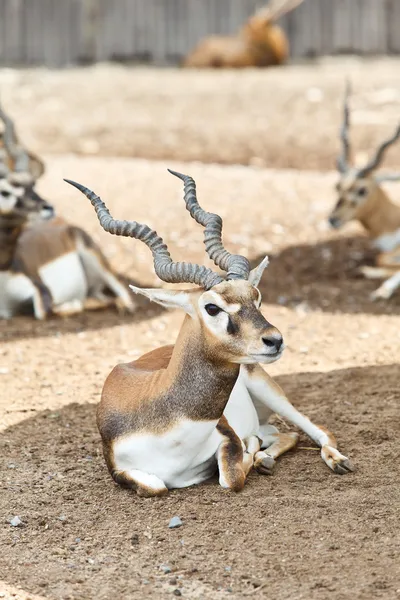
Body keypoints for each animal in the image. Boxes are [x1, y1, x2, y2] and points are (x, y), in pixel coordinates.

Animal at [0, 104, 135, 318]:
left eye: (33, 184)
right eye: (5, 191)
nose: (47, 207)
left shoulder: (43, 294)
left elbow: (46, 310)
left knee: (122, 293)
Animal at [66, 169, 354, 496]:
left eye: (256, 298)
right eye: (212, 307)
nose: (274, 340)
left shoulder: (227, 437)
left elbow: (231, 477)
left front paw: (250, 453)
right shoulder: (120, 468)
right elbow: (156, 485)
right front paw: (256, 453)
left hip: (269, 390)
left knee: (315, 431)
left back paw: (334, 461)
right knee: (282, 434)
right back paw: (265, 457)